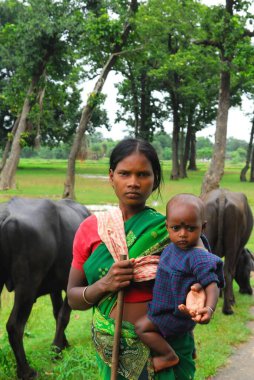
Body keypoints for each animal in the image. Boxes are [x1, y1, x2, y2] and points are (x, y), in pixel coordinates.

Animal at [0, 197, 91, 380]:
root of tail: (6, 214)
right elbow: (63, 316)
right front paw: (56, 349)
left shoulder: (54, 286)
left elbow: (57, 313)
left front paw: (63, 344)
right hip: (27, 285)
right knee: (15, 326)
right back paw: (26, 371)